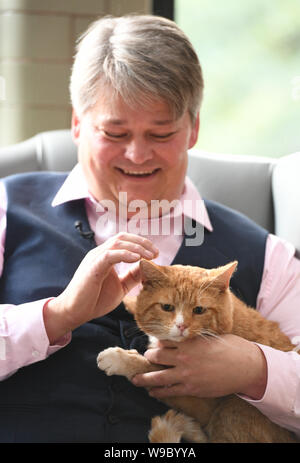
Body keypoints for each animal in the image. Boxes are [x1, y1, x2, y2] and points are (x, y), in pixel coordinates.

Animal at [97, 260, 298, 444]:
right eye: (167, 307)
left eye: (199, 310)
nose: (182, 325)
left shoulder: (199, 402)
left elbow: (150, 367)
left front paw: (119, 359)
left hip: (233, 409)